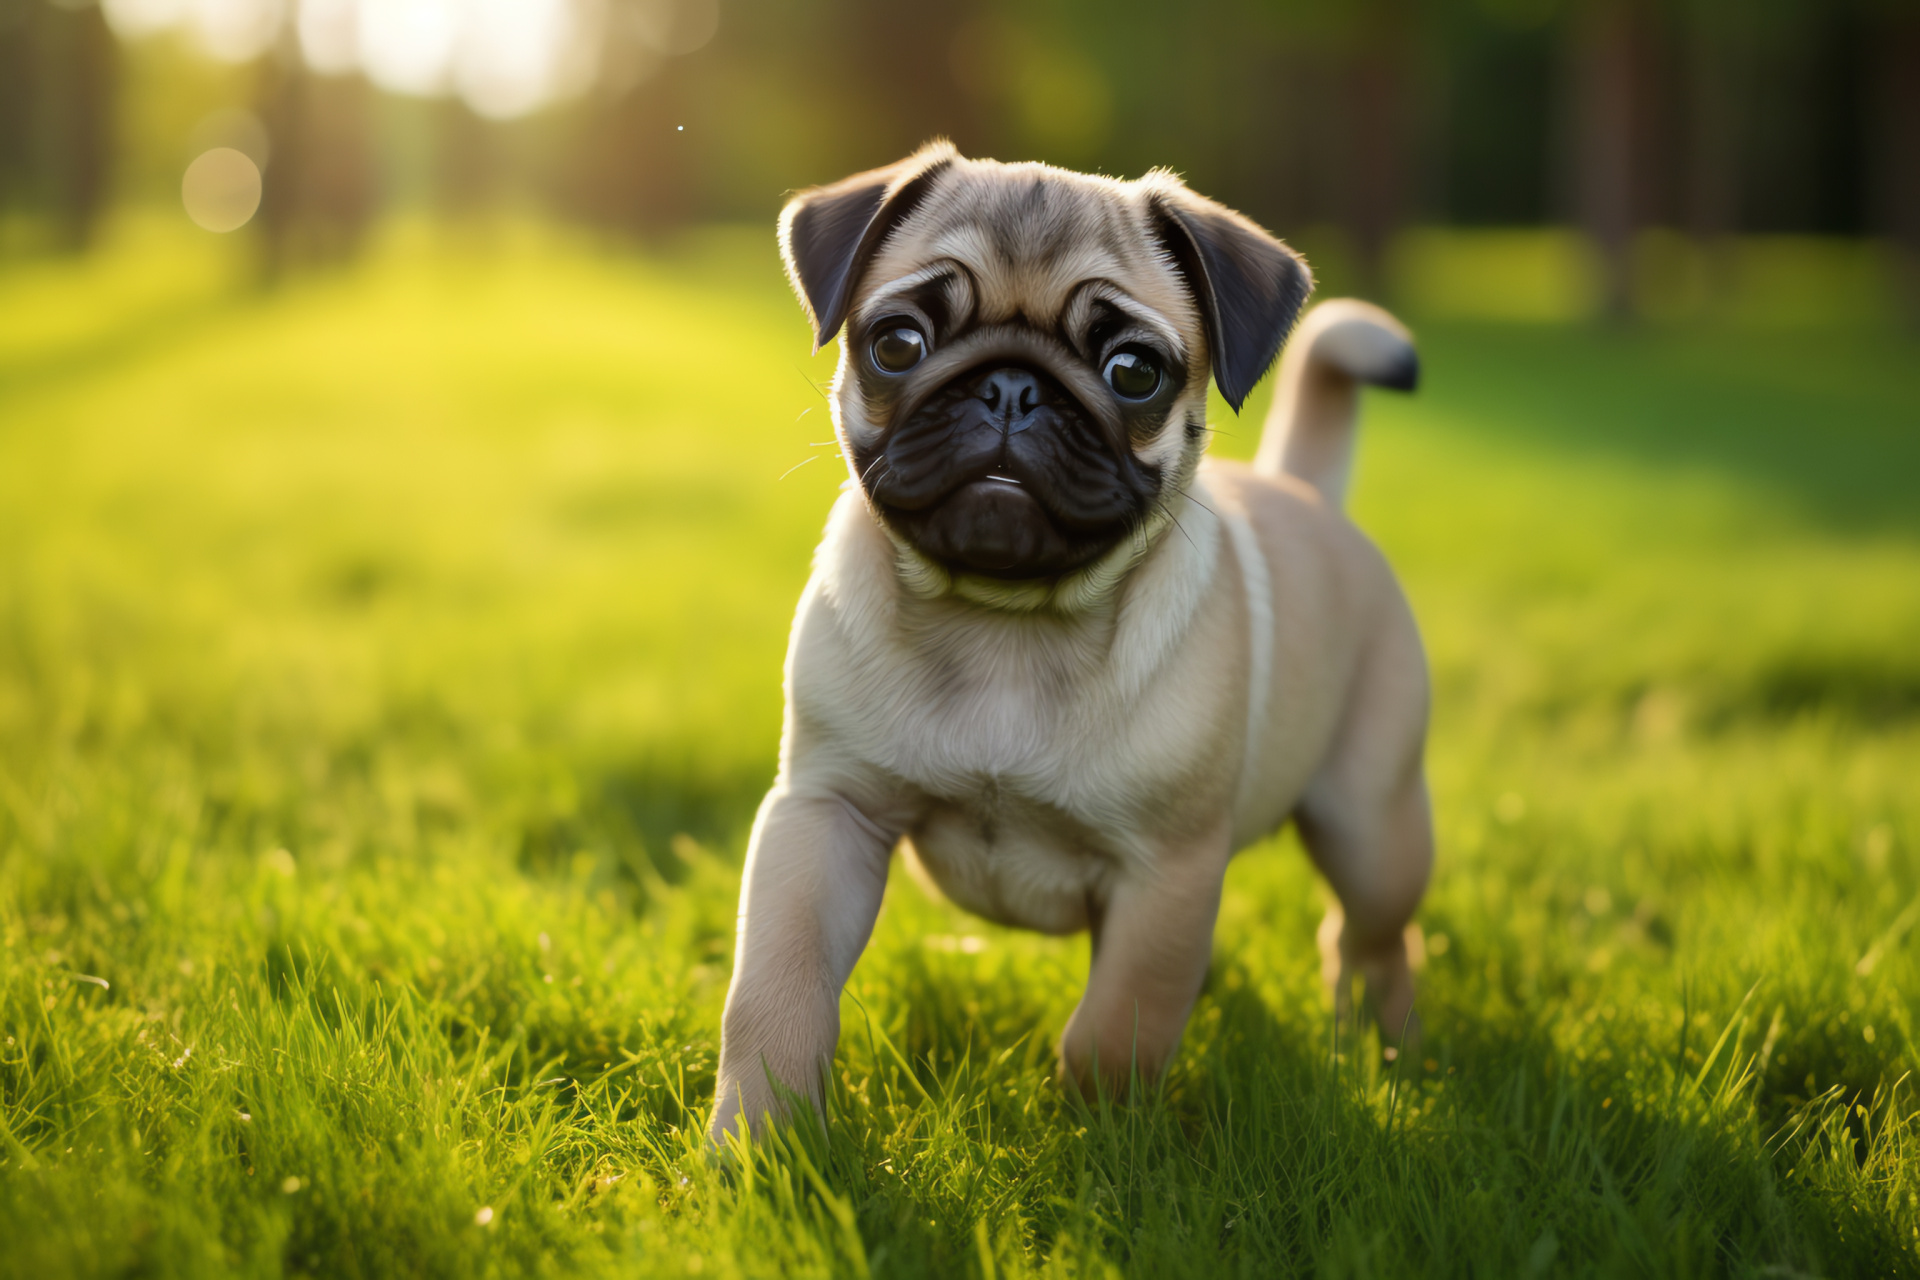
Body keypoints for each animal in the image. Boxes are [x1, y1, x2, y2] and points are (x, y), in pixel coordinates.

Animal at [714, 140, 1436, 1143]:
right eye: (898, 343)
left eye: (1134, 371)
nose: (1011, 387)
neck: (1004, 627)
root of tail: (1307, 494)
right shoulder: (825, 814)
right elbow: (777, 991)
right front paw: (761, 1142)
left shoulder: (1164, 873)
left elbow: (1116, 1026)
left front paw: (1104, 1140)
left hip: (1371, 825)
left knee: (1373, 934)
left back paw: (1388, 1041)